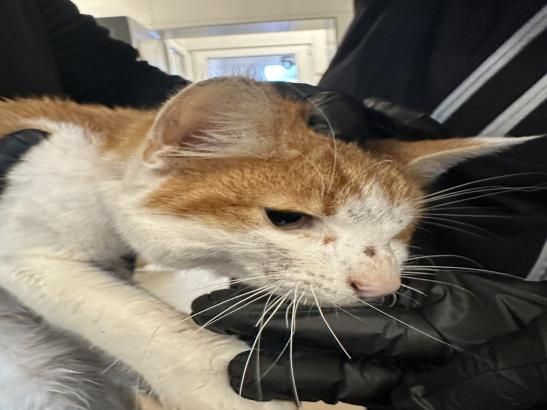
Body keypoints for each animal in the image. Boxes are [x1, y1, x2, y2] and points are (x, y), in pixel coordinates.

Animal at [0, 77, 534, 410]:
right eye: (287, 218)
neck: (98, 166)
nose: (381, 285)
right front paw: (215, 381)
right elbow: (134, 316)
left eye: (399, 232)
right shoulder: (23, 244)